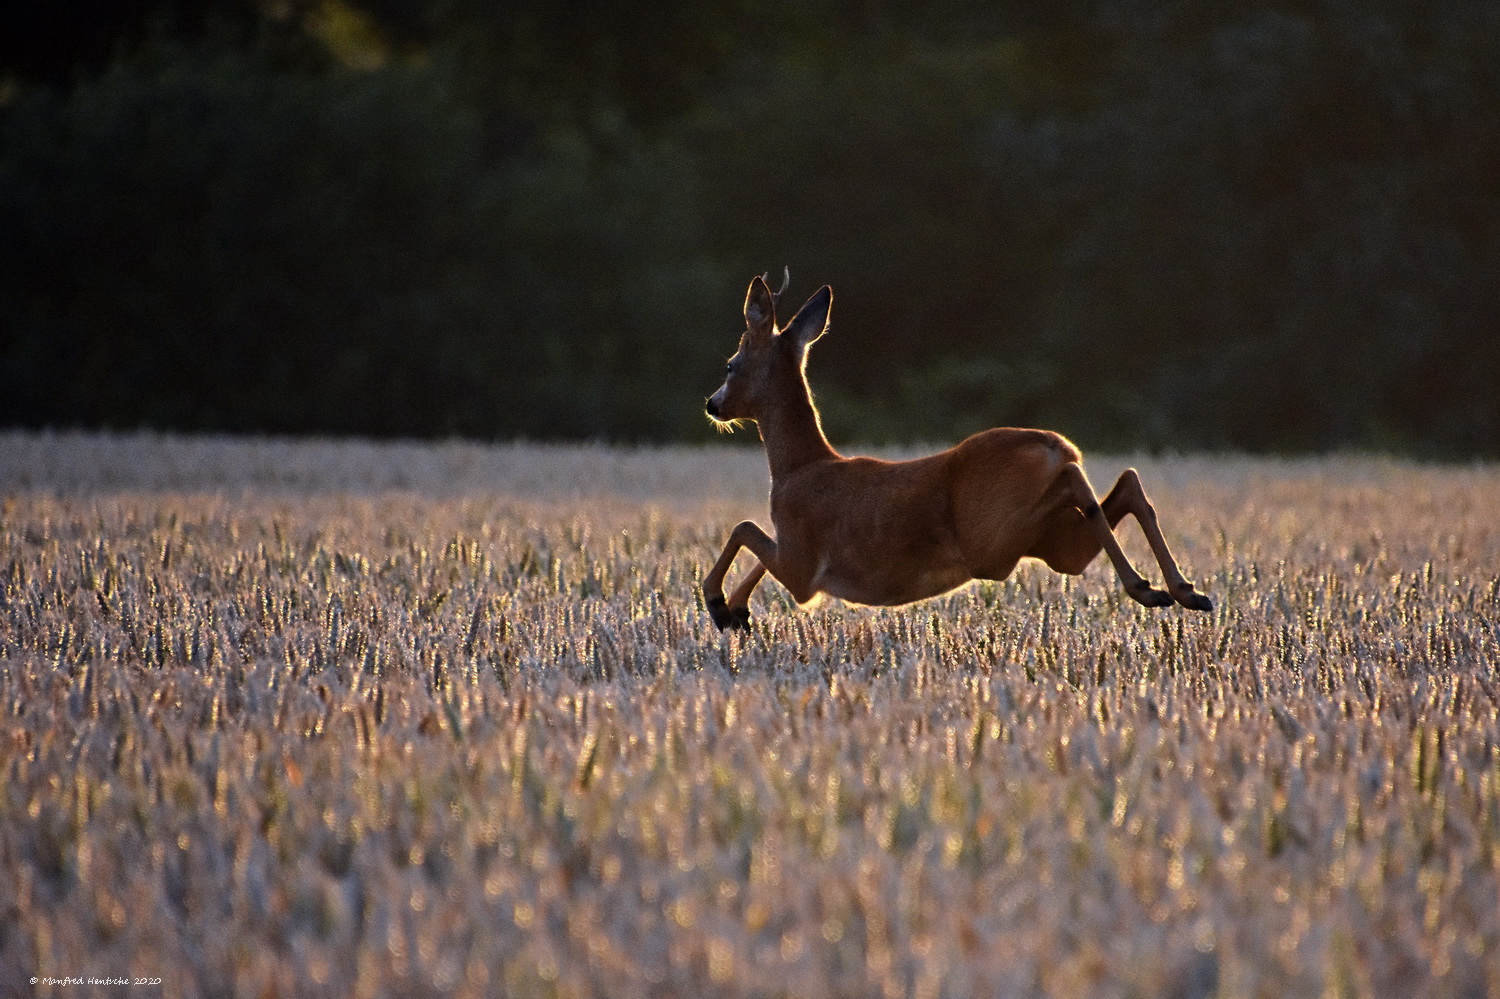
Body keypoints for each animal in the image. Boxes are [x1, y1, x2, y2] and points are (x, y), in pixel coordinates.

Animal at [696, 270, 1212, 630]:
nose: (712, 404)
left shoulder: (803, 564)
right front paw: (735, 613)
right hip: (1048, 542)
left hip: (993, 537)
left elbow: (745, 529)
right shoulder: (795, 558)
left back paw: (1150, 587)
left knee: (1082, 484)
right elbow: (753, 544)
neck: (798, 466)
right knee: (1122, 487)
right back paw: (1182, 591)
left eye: (730, 365)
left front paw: (719, 604)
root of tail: (1053, 445)